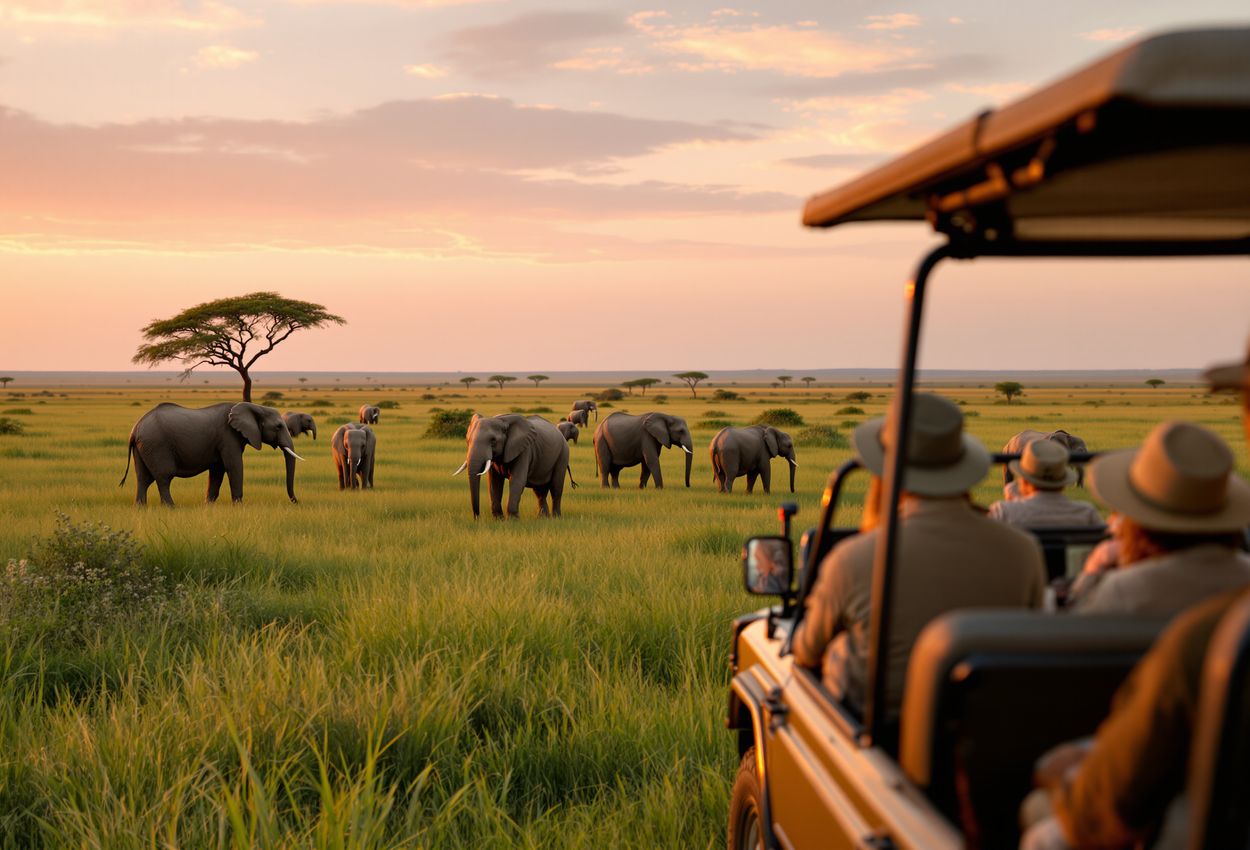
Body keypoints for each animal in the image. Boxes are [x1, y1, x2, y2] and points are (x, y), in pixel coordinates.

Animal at [120, 402, 304, 506]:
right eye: (279, 426)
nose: (296, 502)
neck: (255, 407)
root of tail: (134, 430)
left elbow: (217, 471)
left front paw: (208, 506)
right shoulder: (228, 436)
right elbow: (234, 466)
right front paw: (239, 506)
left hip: (143, 446)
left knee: (143, 478)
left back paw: (140, 508)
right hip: (157, 445)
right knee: (164, 477)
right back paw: (171, 507)